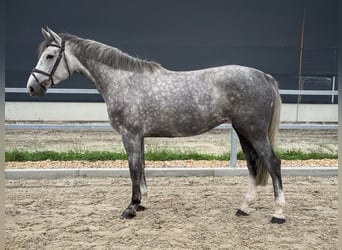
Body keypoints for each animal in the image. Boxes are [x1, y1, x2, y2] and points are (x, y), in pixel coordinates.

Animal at [26, 27, 284, 223]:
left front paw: (130, 208)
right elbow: (141, 167)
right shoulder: (138, 136)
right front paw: (142, 203)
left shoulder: (129, 135)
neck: (123, 80)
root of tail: (264, 77)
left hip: (254, 131)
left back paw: (278, 213)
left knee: (272, 162)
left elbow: (133, 170)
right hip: (243, 131)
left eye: (49, 56)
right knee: (253, 164)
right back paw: (244, 207)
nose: (31, 87)